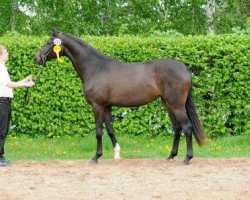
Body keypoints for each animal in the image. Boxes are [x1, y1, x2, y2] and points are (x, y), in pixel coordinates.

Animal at [34, 29, 205, 164]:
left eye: (49, 42)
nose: (36, 58)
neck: (96, 68)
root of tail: (184, 68)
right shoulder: (106, 106)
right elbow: (110, 130)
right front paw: (116, 153)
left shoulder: (97, 106)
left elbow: (99, 131)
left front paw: (96, 157)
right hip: (167, 103)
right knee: (177, 128)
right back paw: (171, 156)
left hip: (176, 104)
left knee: (187, 127)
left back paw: (187, 158)